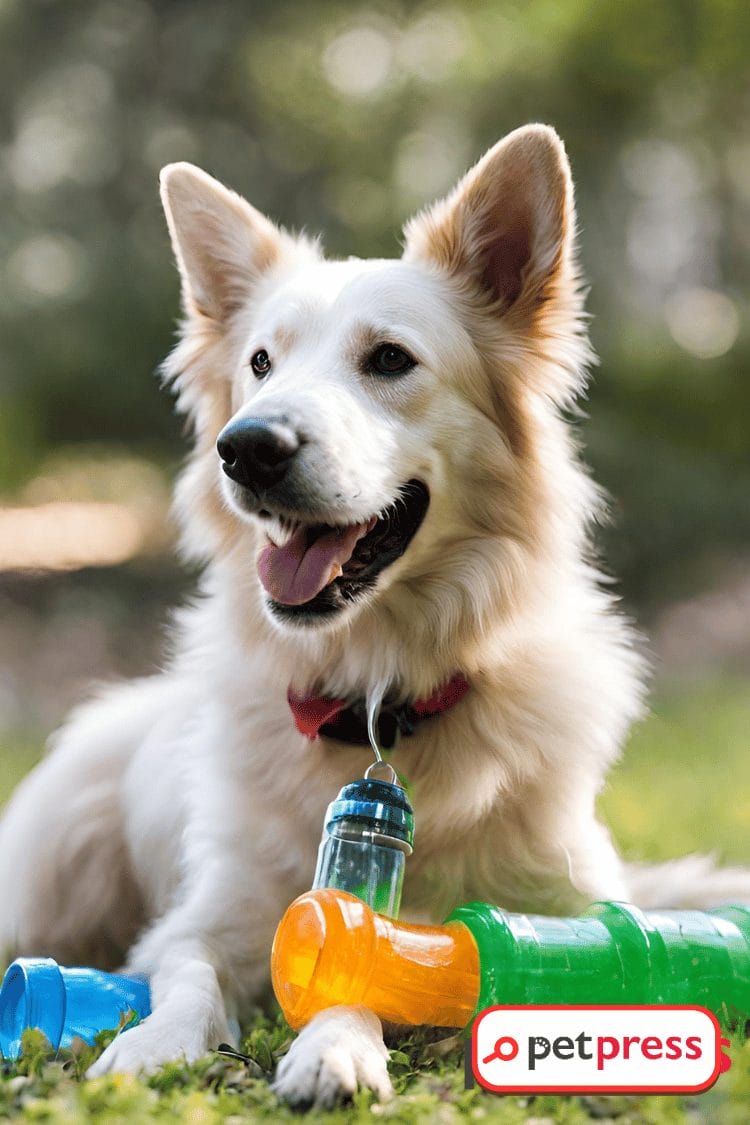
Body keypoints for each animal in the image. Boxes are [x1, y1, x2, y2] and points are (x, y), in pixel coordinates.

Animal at [0, 125, 746, 1107]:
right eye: (260, 364)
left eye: (390, 358)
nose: (247, 449)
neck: (379, 693)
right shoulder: (204, 915)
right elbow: (195, 970)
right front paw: (152, 1044)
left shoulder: (570, 905)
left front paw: (335, 1043)